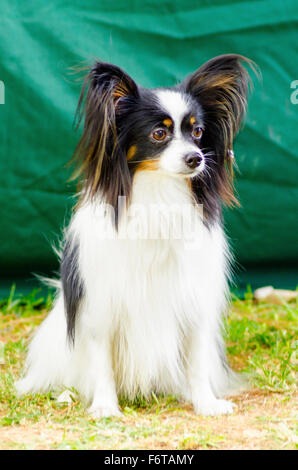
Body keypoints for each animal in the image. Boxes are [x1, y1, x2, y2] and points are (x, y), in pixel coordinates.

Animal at [16, 53, 253, 416]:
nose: (196, 158)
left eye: (198, 132)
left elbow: (196, 362)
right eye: (159, 134)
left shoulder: (193, 301)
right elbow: (101, 362)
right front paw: (104, 407)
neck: (159, 193)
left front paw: (206, 404)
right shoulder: (101, 305)